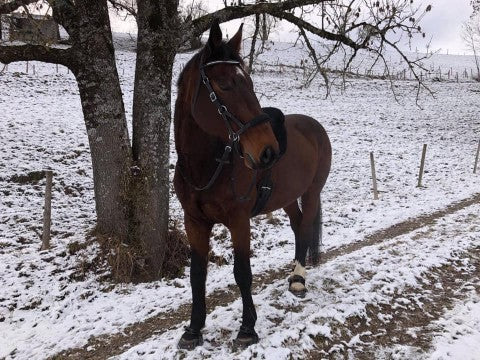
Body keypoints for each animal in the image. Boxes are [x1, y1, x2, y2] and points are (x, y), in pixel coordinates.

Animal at [174, 19, 332, 348]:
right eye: (224, 85)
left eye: (249, 82)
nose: (268, 151)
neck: (207, 167)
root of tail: (314, 126)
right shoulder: (194, 222)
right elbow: (197, 274)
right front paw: (194, 329)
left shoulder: (239, 221)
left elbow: (242, 272)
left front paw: (247, 328)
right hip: (287, 197)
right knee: (298, 226)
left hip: (312, 192)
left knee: (306, 225)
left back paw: (299, 280)